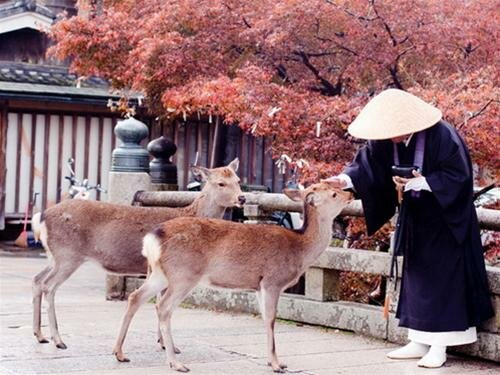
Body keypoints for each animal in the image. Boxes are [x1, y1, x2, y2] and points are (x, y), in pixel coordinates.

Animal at [32, 158, 244, 350]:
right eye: (221, 183)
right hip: (67, 255)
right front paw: (168, 345)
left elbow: (158, 300)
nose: (242, 198)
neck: (192, 213)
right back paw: (58, 340)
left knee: (37, 279)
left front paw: (162, 342)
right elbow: (160, 301)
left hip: (54, 256)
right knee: (49, 286)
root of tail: (41, 217)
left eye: (238, 180)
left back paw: (40, 335)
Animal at [111, 183, 354, 374]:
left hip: (160, 274)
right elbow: (271, 319)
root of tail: (152, 238)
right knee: (163, 307)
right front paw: (277, 364)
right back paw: (176, 363)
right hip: (184, 275)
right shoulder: (272, 280)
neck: (300, 249)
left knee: (135, 297)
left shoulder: (258, 285)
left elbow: (264, 318)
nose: (350, 192)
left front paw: (272, 361)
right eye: (333, 194)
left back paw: (120, 352)